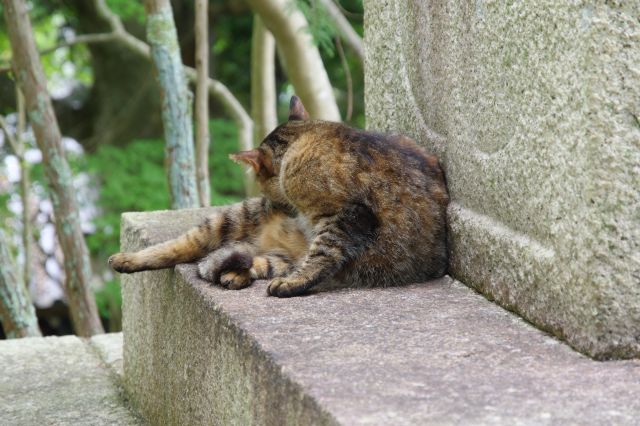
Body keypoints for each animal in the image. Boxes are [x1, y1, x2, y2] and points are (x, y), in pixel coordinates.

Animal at [109, 95, 450, 296]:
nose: (279, 206)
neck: (304, 139)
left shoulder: (348, 215)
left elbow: (323, 256)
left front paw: (295, 284)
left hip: (273, 248)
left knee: (243, 260)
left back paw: (234, 274)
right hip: (237, 218)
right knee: (191, 248)